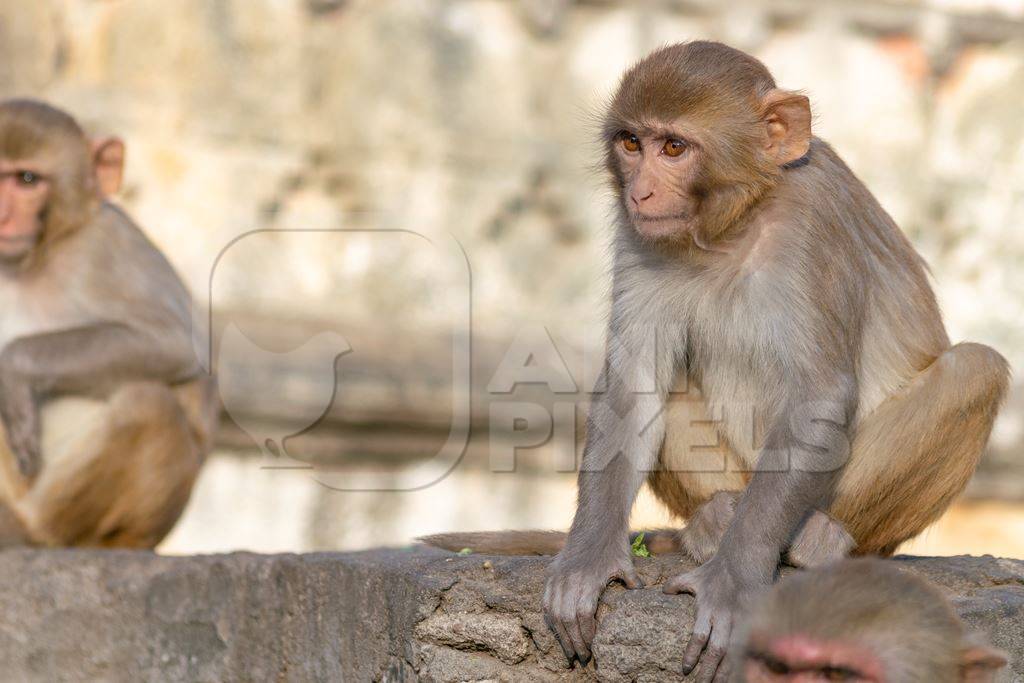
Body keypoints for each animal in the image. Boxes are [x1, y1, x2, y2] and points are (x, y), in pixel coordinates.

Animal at [0, 100, 214, 548]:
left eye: (27, 180)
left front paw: (13, 371)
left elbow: (174, 344)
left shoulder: (107, 244)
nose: (1, 216)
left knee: (148, 403)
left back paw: (29, 530)